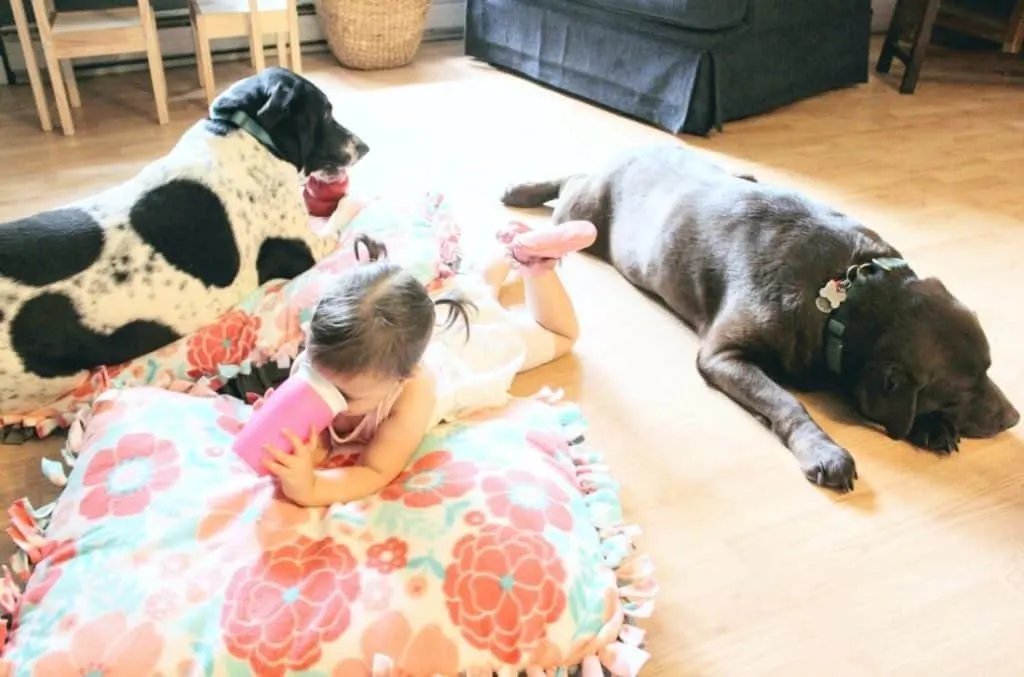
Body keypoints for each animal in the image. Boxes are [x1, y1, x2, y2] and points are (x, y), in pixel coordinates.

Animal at [0, 66, 368, 419]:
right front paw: (357, 200)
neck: (246, 131)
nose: (364, 147)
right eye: (325, 114)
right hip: (55, 380)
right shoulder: (308, 249)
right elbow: (343, 212)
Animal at [501, 144, 1015, 491]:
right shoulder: (723, 354)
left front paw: (932, 426)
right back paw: (522, 189)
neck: (846, 291)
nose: (1013, 418)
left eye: (987, 371)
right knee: (570, 181)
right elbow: (789, 404)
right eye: (961, 390)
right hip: (583, 216)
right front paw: (824, 451)